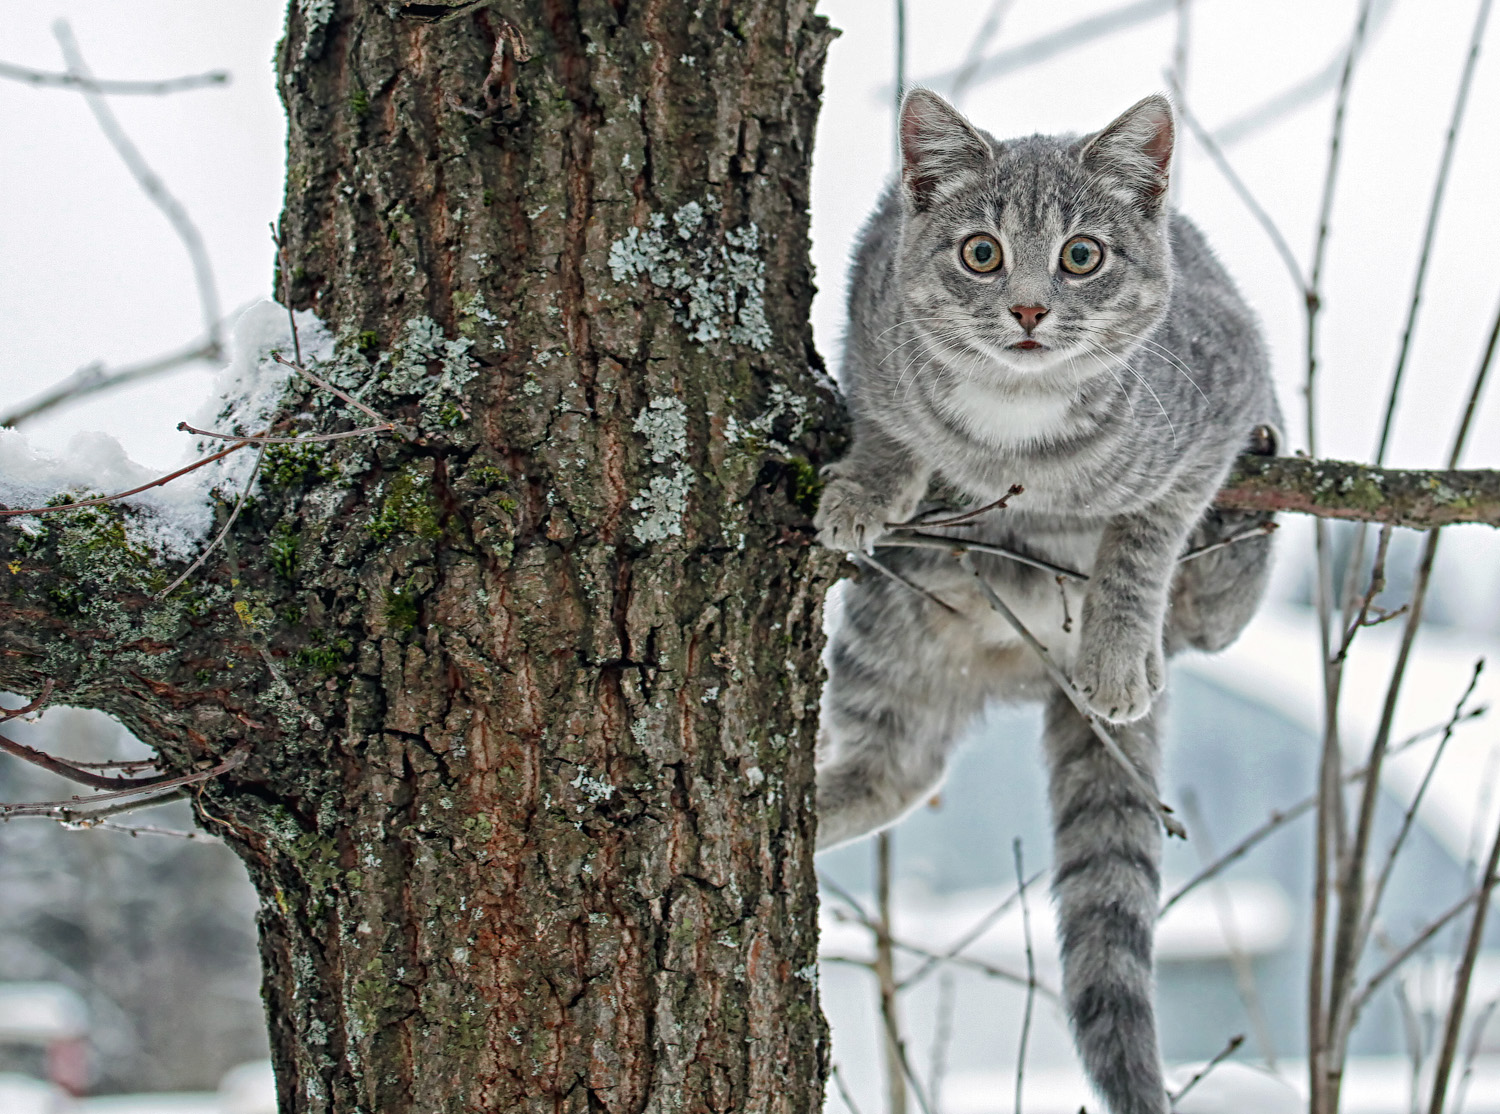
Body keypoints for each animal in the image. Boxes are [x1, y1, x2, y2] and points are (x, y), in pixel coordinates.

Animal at [816, 89, 1284, 1114]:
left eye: (1082, 256)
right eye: (980, 251)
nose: (1029, 308)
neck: (1014, 436)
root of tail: (1027, 660)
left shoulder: (1215, 394)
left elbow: (1146, 534)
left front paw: (1115, 645)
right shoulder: (870, 313)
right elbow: (887, 421)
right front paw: (869, 483)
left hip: (1216, 558)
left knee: (1219, 618)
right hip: (891, 631)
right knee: (892, 769)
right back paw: (801, 810)